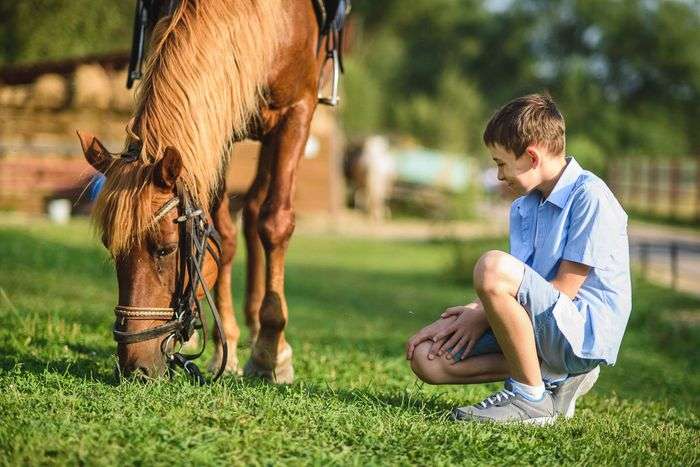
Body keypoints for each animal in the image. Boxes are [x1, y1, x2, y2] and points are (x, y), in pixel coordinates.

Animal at [78, 0, 334, 384]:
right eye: (112, 248)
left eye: (166, 249)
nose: (135, 367)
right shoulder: (216, 125)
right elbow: (221, 235)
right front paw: (224, 344)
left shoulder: (297, 110)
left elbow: (276, 223)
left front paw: (271, 352)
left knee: (259, 210)